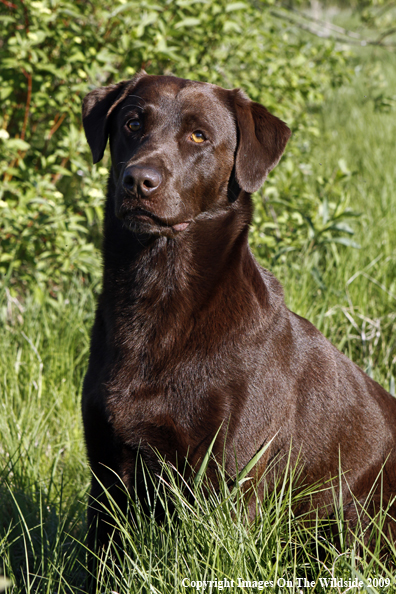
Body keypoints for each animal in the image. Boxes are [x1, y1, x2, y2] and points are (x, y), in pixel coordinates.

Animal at [81, 73, 396, 552]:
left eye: (199, 136)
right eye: (133, 123)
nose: (138, 180)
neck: (158, 291)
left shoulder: (231, 483)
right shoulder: (105, 476)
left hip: (357, 515)